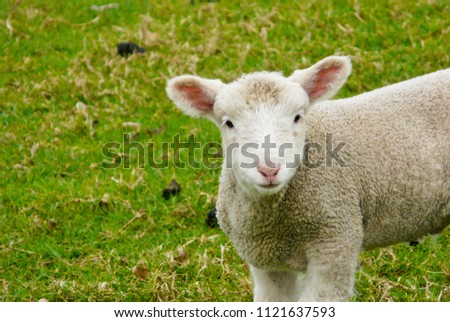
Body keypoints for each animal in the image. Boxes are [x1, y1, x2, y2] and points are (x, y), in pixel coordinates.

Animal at [165, 56, 450, 302]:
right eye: (228, 123)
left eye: (297, 117)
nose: (269, 169)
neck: (274, 224)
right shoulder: (266, 263)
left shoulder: (336, 244)